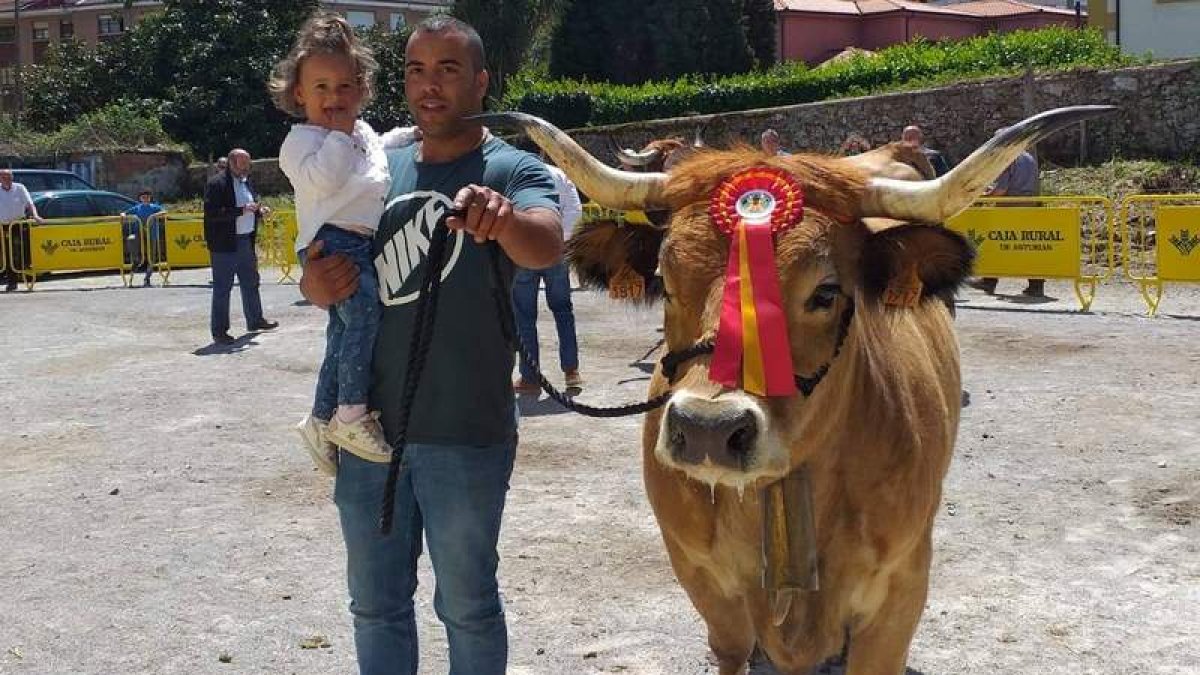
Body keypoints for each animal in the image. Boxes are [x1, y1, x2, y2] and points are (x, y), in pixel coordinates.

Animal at [477, 106, 1111, 674]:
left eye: (825, 292)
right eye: (666, 279)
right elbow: (732, 648)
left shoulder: (901, 590)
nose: (707, 429)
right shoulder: (701, 578)